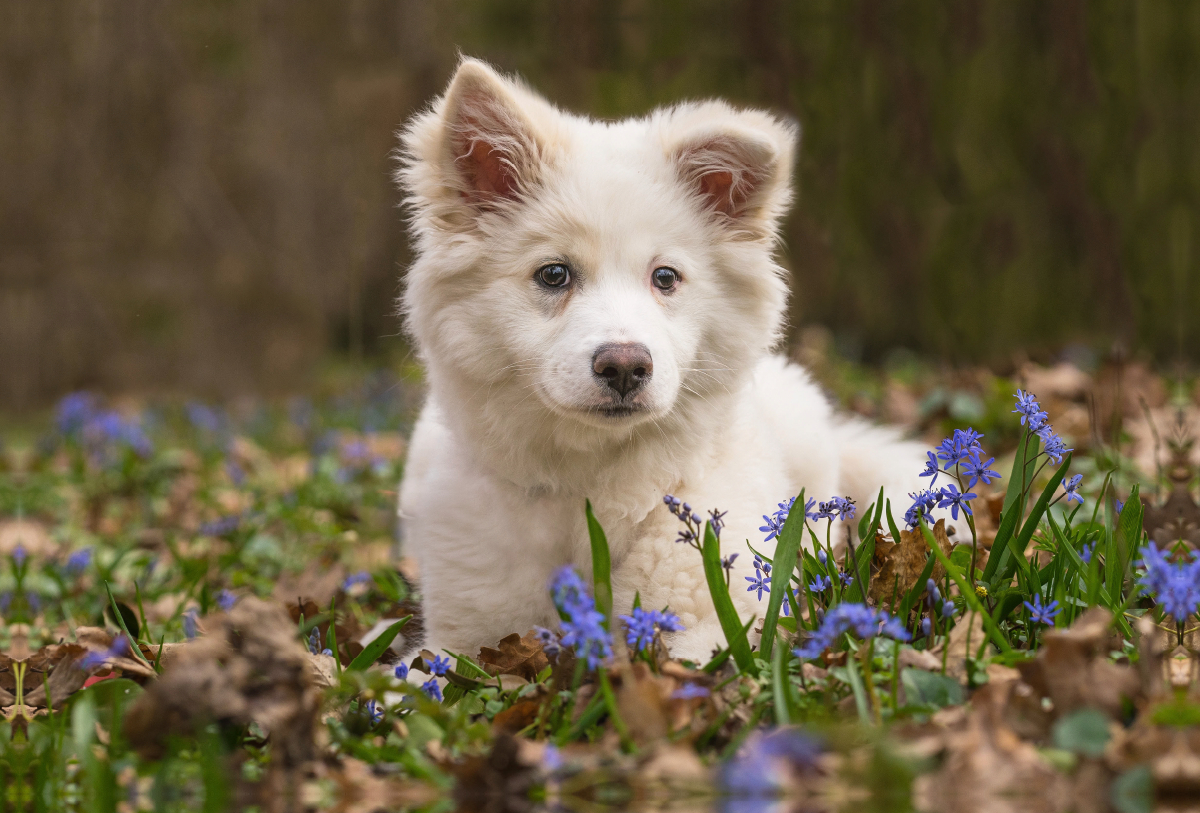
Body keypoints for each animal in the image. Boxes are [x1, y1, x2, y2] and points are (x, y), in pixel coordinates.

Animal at [396, 60, 936, 666]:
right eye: (554, 274)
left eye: (665, 277)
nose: (625, 367)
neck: (591, 491)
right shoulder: (460, 639)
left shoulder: (723, 620)